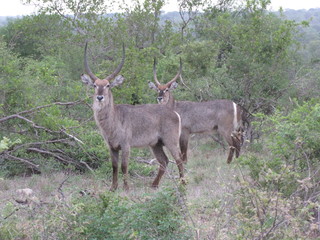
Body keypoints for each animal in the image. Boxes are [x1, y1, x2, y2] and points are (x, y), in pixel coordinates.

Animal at [81, 42, 184, 190]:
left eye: (108, 85)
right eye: (95, 85)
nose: (100, 97)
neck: (113, 120)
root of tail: (174, 113)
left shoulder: (125, 145)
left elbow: (124, 166)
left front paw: (126, 188)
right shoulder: (111, 147)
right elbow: (114, 166)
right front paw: (113, 188)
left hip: (171, 141)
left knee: (179, 159)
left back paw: (182, 183)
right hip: (156, 144)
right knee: (164, 161)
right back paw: (154, 185)